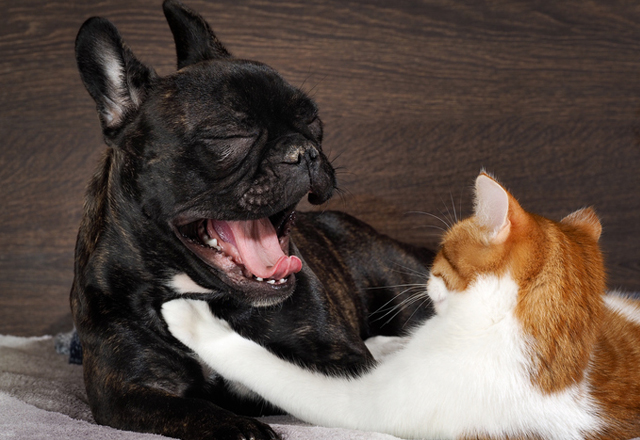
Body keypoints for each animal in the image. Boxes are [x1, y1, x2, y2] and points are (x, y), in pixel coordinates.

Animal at [72, 1, 438, 438]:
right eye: (229, 137)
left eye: (313, 123)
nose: (304, 150)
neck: (207, 294)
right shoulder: (127, 389)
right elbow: (190, 409)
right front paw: (239, 426)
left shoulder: (344, 359)